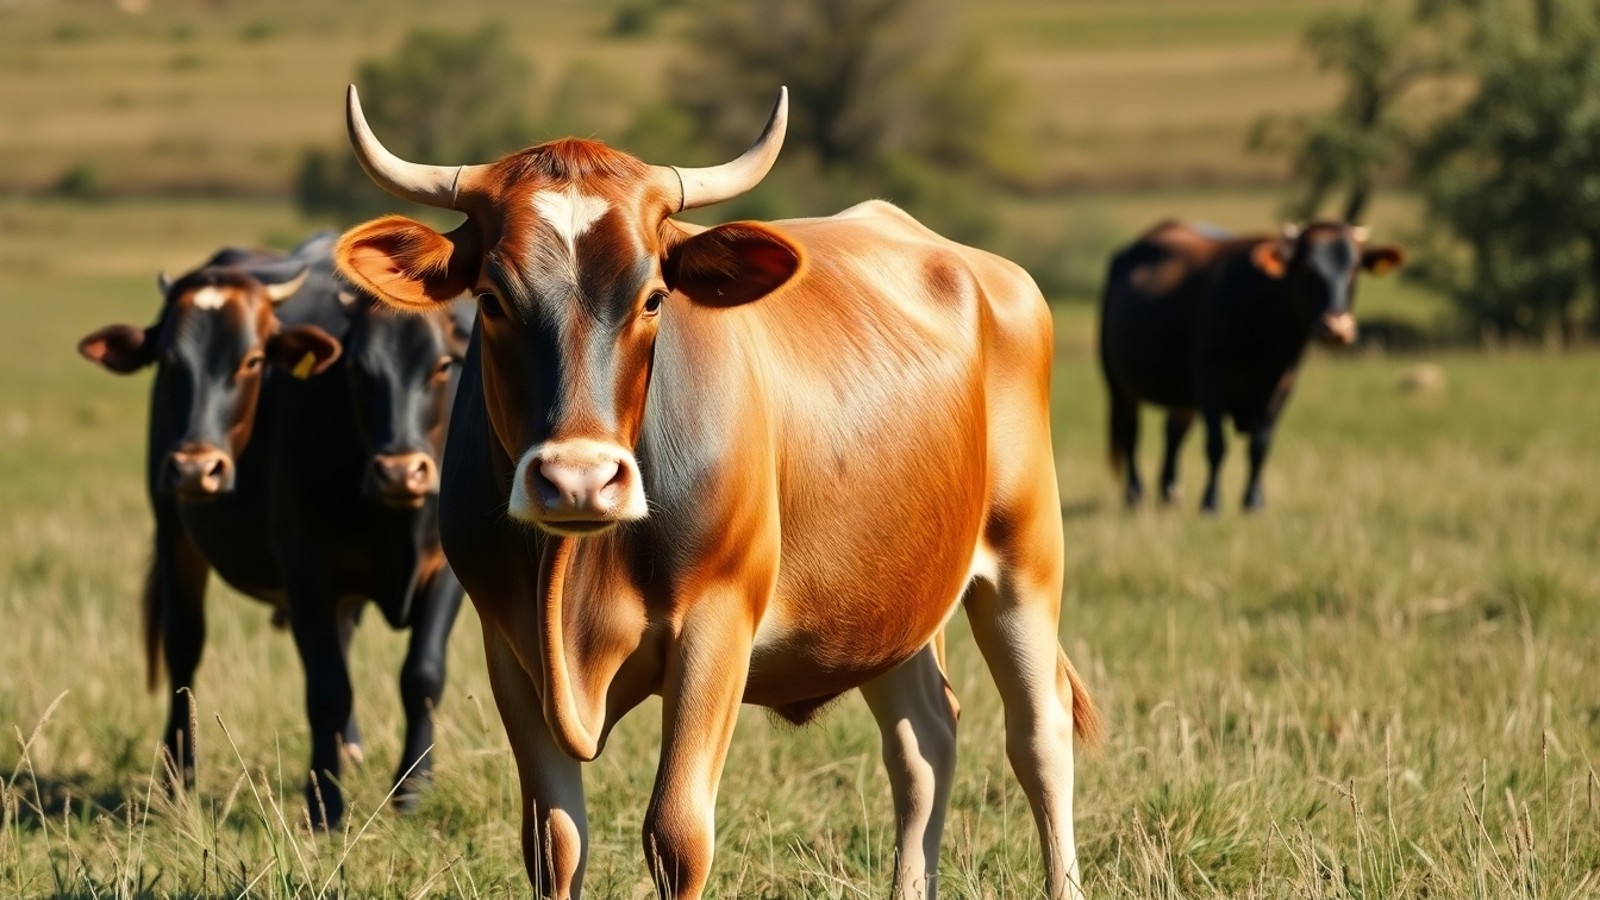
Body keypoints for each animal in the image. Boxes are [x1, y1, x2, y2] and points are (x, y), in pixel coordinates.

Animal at [76, 233, 470, 828]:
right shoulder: (305, 566)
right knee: (184, 648)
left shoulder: (443, 568)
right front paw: (325, 803)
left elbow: (422, 674)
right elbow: (327, 686)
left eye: (443, 364)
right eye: (358, 368)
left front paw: (412, 792)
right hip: (175, 533)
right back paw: (178, 779)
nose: (402, 471)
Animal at [333, 85, 1102, 900]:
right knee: (924, 742)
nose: (578, 479)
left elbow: (676, 834)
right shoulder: (507, 644)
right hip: (891, 598)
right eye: (491, 299)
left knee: (1038, 735)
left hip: (1025, 559)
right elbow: (553, 843)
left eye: (653, 299)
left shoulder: (717, 623)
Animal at [1098, 220, 1404, 513]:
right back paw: (1135, 495)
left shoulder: (1284, 383)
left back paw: (1169, 494)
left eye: (1354, 268)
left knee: (1173, 433)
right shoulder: (1209, 374)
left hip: (1183, 397)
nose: (1337, 328)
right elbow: (1216, 444)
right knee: (1130, 435)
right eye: (1307, 267)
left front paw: (1254, 502)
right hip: (1118, 383)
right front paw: (1211, 502)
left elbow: (1260, 445)